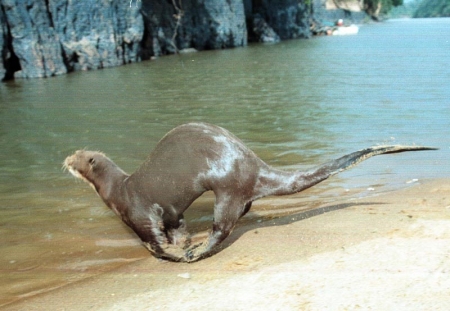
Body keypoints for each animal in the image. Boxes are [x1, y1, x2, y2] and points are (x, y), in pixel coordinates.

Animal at [64, 122, 436, 264]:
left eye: (77, 158)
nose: (64, 160)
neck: (117, 189)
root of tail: (252, 163)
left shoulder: (137, 212)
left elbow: (152, 238)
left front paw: (174, 253)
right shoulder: (170, 212)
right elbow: (176, 227)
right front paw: (181, 245)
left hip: (227, 187)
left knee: (223, 226)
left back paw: (198, 252)